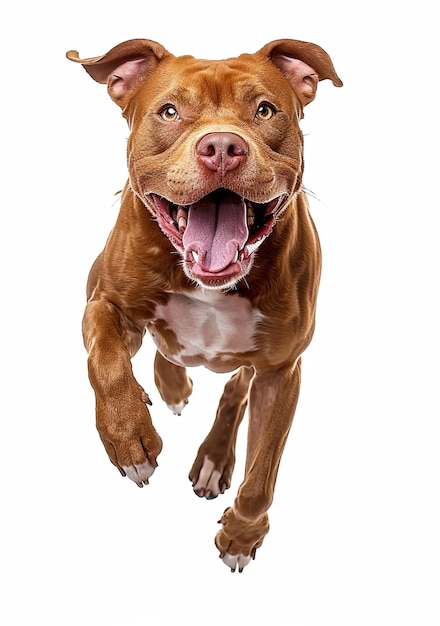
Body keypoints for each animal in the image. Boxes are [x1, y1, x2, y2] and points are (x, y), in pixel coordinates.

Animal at [66, 37, 340, 572]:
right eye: (169, 111)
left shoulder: (282, 371)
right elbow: (104, 360)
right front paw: (129, 438)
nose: (222, 148)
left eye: (264, 110)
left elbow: (262, 473)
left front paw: (242, 534)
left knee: (234, 389)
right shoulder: (103, 301)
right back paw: (169, 385)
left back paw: (213, 458)